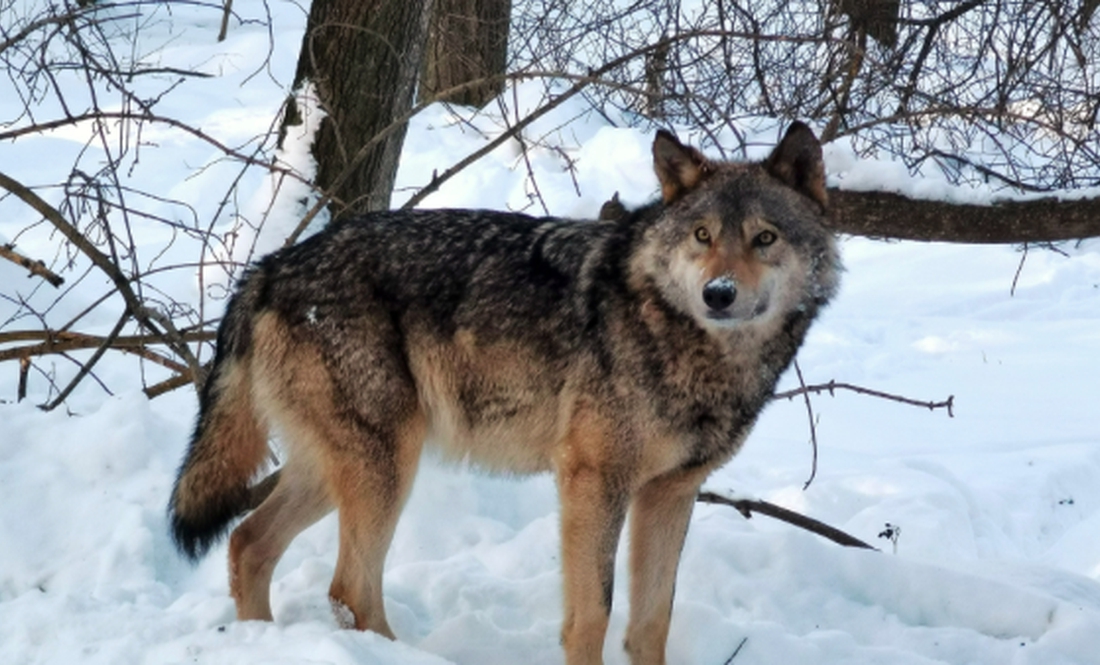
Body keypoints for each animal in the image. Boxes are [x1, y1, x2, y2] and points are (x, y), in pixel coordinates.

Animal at [169, 122, 840, 659]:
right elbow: (593, 617)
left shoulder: (670, 494)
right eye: (702, 235)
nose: (718, 294)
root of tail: (268, 268)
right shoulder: (593, 482)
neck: (690, 348)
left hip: (337, 470)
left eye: (765, 238)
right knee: (349, 589)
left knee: (248, 544)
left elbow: (651, 624)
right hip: (387, 467)